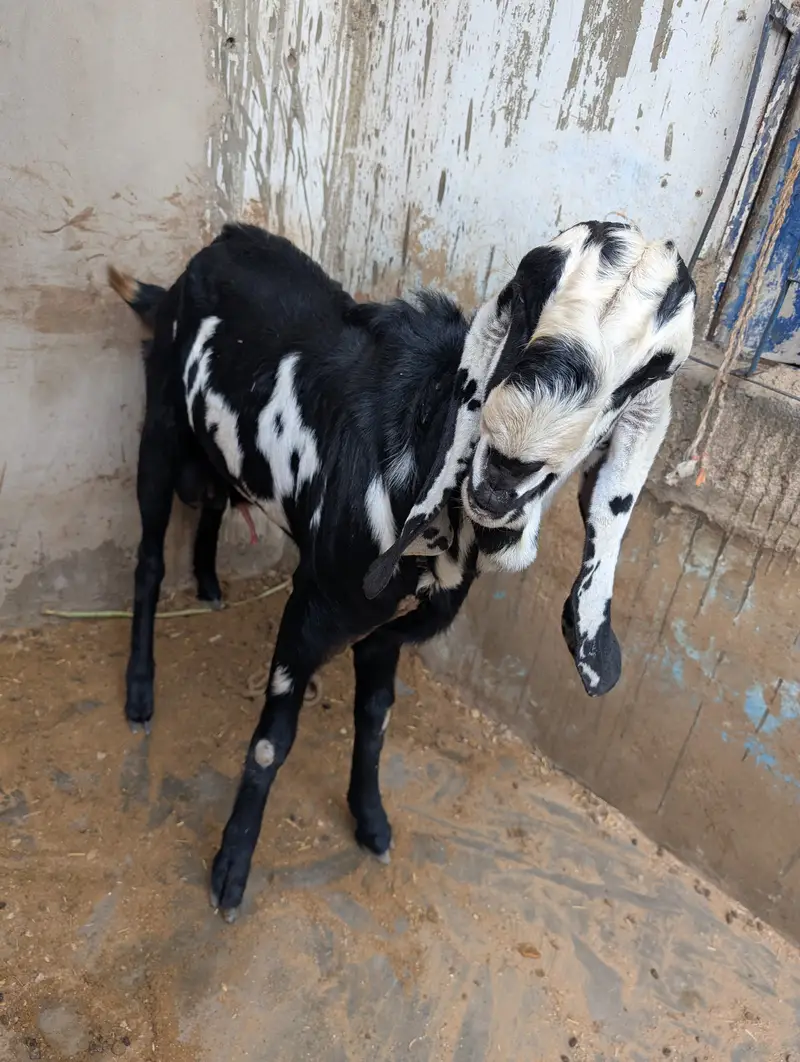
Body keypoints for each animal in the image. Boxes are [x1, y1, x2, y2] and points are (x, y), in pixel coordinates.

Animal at [110, 220, 695, 920]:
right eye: (523, 302)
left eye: (647, 374)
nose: (504, 473)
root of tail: (210, 248)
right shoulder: (312, 604)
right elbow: (272, 741)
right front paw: (231, 871)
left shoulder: (389, 630)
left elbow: (376, 718)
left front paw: (371, 823)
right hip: (160, 429)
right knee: (147, 560)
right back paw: (140, 691)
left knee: (218, 499)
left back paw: (208, 583)